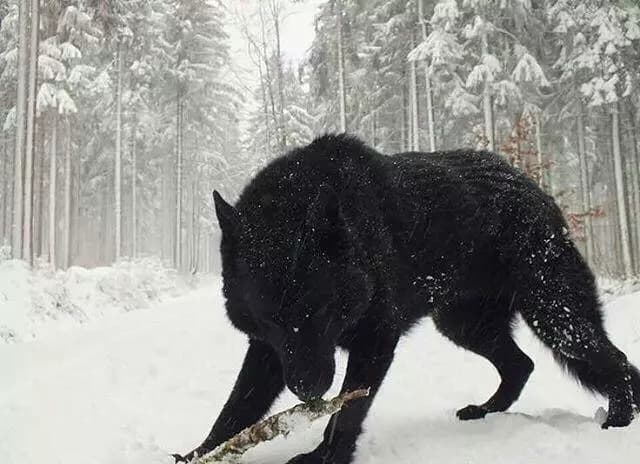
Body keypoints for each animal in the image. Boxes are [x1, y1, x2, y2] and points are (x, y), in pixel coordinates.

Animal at [175, 134, 639, 464]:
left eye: (320, 310)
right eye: (269, 319)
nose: (308, 391)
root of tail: (533, 187)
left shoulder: (375, 342)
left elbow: (346, 414)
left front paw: (326, 458)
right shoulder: (270, 351)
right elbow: (235, 409)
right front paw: (200, 454)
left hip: (557, 319)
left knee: (616, 362)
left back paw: (618, 420)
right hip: (465, 326)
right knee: (520, 364)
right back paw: (486, 410)